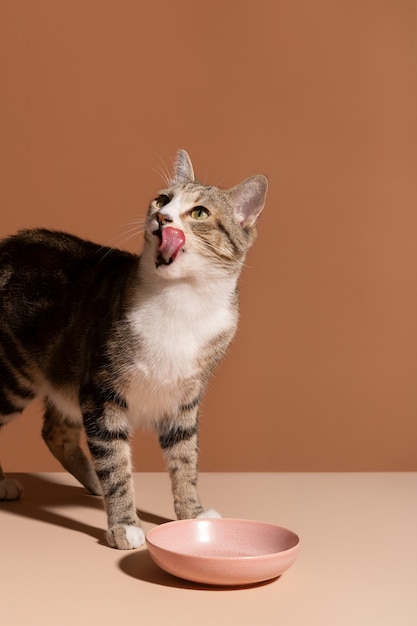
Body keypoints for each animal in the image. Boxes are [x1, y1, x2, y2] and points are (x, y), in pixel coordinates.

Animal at [0, 150, 266, 544]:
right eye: (162, 199)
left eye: (200, 213)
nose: (162, 217)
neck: (181, 302)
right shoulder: (102, 391)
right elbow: (114, 457)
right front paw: (124, 523)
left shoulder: (184, 400)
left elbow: (185, 458)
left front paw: (192, 513)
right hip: (15, 375)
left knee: (56, 432)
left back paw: (94, 483)